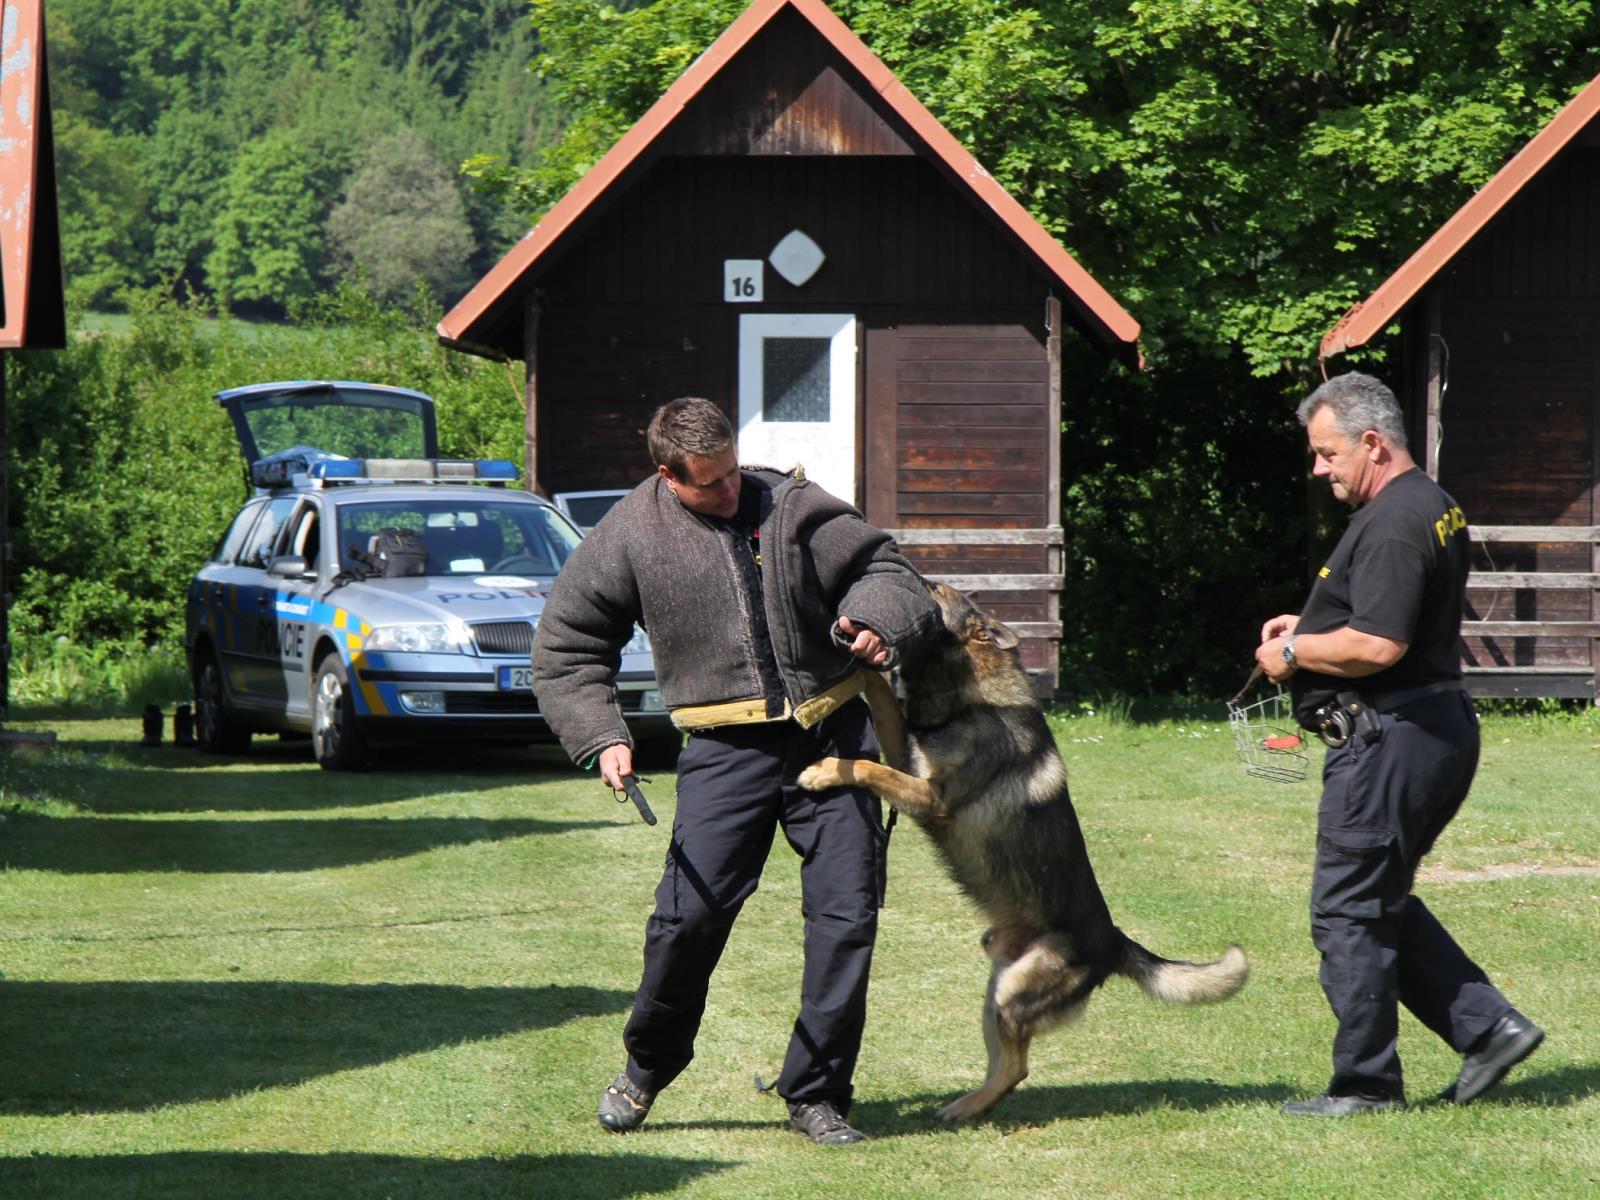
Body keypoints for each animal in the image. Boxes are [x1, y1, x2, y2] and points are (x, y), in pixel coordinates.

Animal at [800, 582, 1248, 1126]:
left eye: (933, 590)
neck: (970, 695)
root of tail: (1114, 942)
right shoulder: (908, 754)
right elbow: (883, 702)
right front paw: (862, 669)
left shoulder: (931, 797)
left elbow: (868, 768)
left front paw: (823, 770)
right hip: (998, 991)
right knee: (1010, 1067)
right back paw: (964, 1107)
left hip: (1013, 996)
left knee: (1017, 1067)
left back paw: (965, 1109)